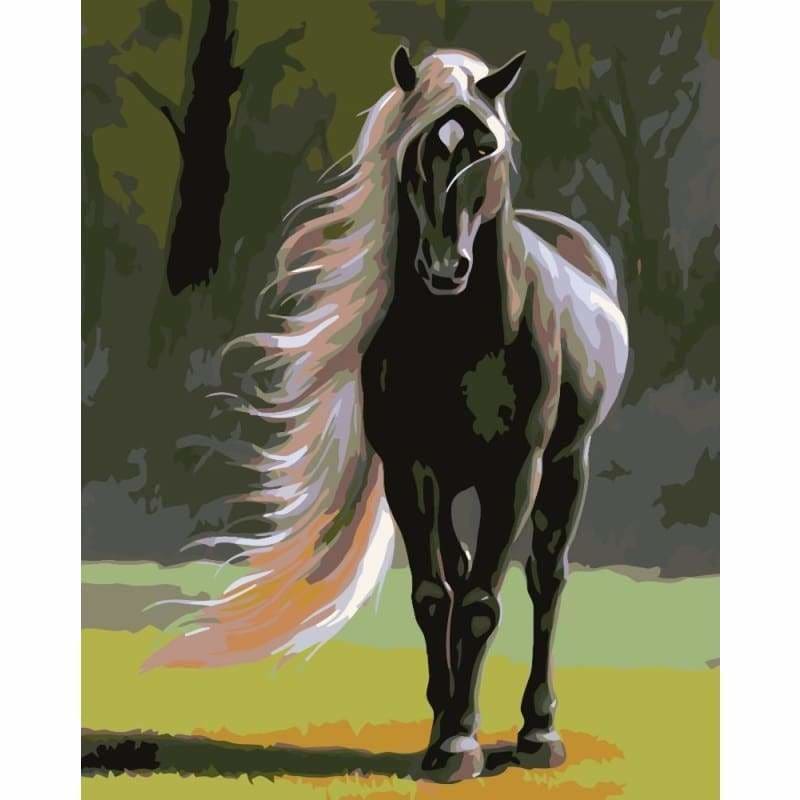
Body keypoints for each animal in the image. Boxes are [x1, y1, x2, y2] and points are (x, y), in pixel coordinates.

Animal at [145, 46, 629, 784]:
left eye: (485, 149)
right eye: (414, 153)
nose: (445, 268)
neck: (460, 335)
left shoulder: (515, 470)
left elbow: (483, 601)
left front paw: (461, 740)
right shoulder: (410, 469)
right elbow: (435, 594)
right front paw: (446, 737)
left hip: (567, 462)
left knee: (546, 580)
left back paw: (537, 732)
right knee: (463, 570)